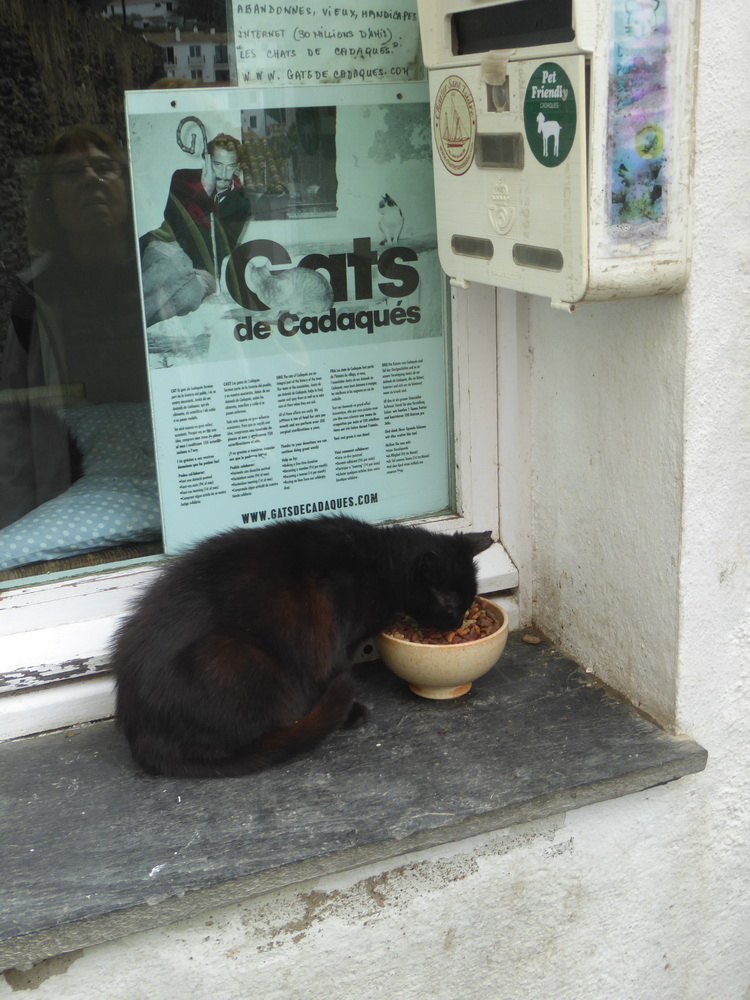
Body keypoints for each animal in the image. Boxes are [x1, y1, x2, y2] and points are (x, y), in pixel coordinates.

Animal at [112, 515, 493, 778]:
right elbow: (331, 671)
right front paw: (350, 713)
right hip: (232, 656)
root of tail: (145, 742)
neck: (377, 563)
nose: (457, 624)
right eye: (450, 606)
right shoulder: (334, 641)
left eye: (468, 603)